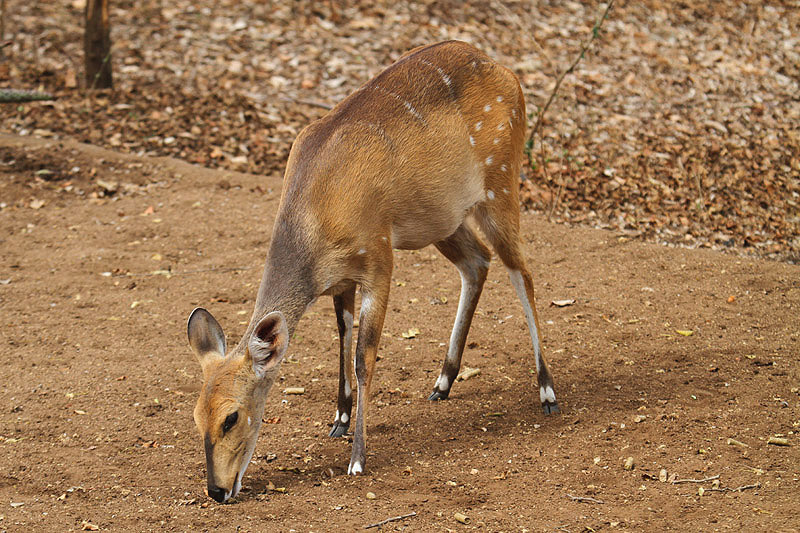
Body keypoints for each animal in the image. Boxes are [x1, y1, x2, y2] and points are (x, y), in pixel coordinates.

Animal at [188, 41, 560, 502]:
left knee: (521, 271)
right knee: (478, 262)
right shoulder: (340, 279)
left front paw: (357, 458)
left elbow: (364, 356)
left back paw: (547, 391)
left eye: (231, 417)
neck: (317, 217)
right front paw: (339, 420)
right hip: (441, 217)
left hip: (501, 182)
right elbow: (342, 337)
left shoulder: (379, 258)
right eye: (196, 417)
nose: (217, 490)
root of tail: (507, 72)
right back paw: (442, 382)